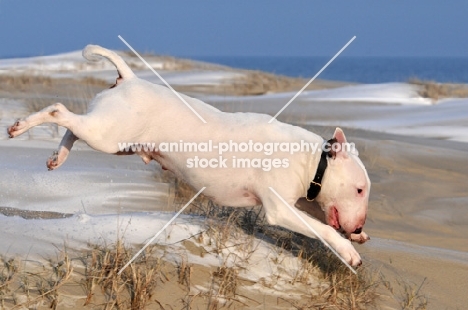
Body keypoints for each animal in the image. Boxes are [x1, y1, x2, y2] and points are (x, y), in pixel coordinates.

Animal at [7, 45, 372, 266]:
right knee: (59, 111)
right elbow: (323, 229)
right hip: (107, 136)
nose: (358, 226)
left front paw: (357, 237)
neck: (313, 162)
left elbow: (319, 217)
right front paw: (349, 252)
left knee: (73, 126)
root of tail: (130, 78)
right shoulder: (280, 209)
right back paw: (21, 126)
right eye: (359, 189)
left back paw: (58, 157)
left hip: (113, 138)